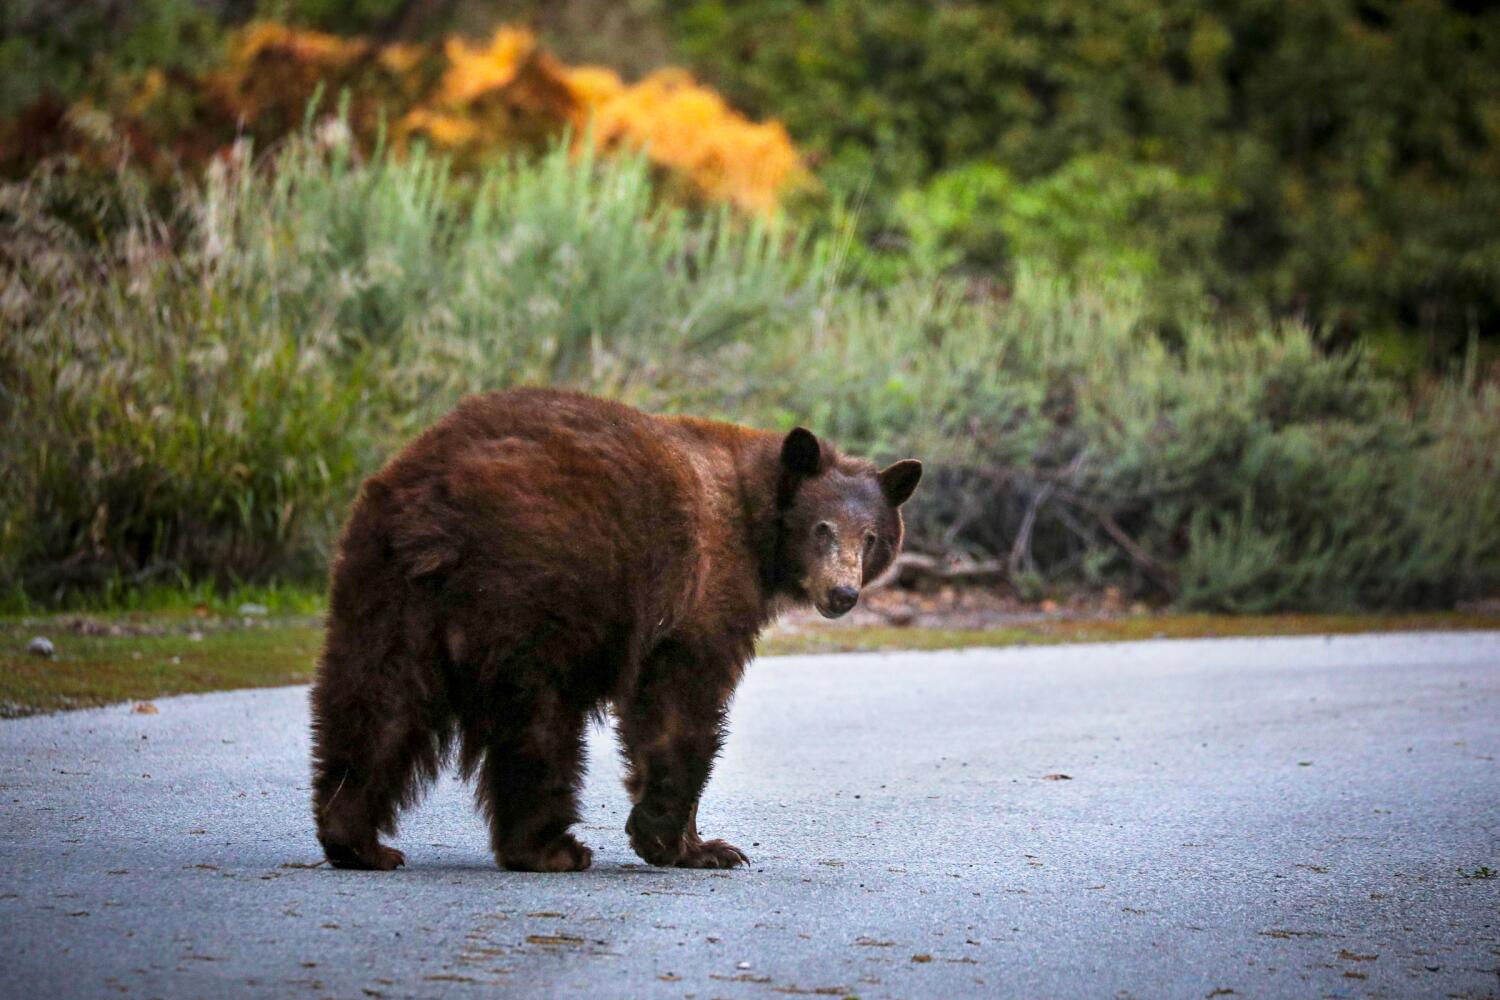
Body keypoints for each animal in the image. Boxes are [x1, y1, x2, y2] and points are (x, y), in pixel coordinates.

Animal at [310, 386, 918, 869]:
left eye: (871, 537)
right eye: (823, 528)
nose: (843, 594)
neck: (757, 522)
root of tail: (433, 511)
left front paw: (697, 844)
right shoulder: (703, 588)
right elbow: (682, 705)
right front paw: (680, 841)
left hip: (383, 586)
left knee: (376, 701)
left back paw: (355, 840)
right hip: (533, 585)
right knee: (537, 721)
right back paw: (549, 849)